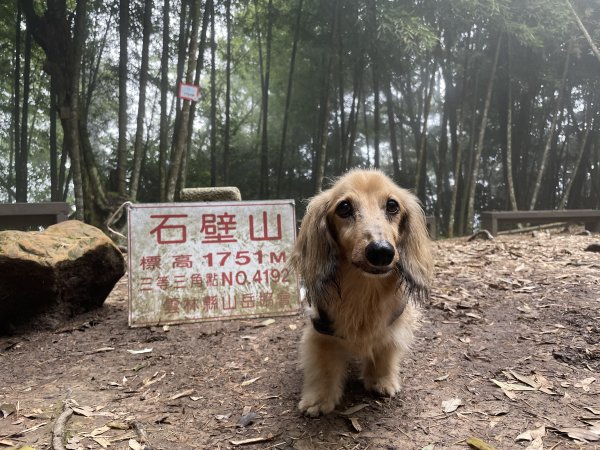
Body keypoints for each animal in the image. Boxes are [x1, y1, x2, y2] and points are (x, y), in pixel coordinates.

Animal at [290, 170, 432, 418]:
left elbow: (385, 352)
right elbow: (323, 365)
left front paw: (381, 380)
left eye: (392, 205)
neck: (364, 291)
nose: (381, 251)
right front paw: (319, 399)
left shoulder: (392, 326)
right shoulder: (321, 331)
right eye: (344, 207)